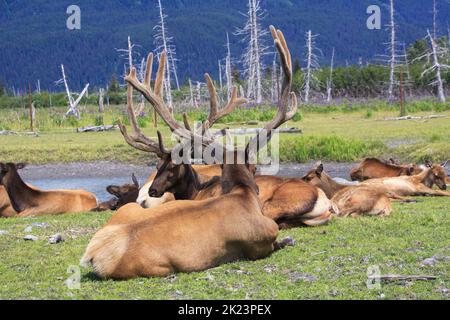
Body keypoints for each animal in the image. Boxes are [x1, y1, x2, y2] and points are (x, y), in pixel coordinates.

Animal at [82, 27, 302, 278]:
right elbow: (281, 241)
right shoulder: (264, 239)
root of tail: (93, 255)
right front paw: (289, 240)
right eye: (254, 168)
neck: (242, 194)